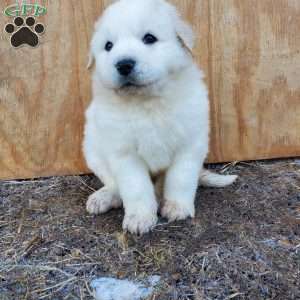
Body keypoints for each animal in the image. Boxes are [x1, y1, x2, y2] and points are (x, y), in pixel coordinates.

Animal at [83, 0, 238, 234]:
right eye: (108, 46)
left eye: (149, 38)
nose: (124, 64)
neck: (147, 102)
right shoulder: (124, 153)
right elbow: (135, 187)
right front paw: (140, 218)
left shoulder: (189, 144)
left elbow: (180, 179)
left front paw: (177, 207)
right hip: (92, 148)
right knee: (113, 184)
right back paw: (104, 197)